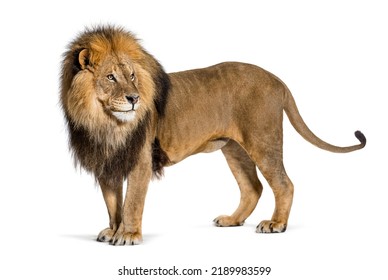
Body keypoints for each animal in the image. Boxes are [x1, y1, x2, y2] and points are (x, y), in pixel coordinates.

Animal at [59, 25, 366, 245]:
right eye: (110, 77)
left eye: (132, 76)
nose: (134, 98)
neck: (104, 121)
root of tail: (276, 79)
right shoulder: (106, 163)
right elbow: (113, 204)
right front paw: (113, 231)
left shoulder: (141, 161)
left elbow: (132, 202)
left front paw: (128, 235)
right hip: (234, 148)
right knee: (253, 187)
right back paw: (232, 220)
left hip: (262, 140)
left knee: (284, 183)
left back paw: (276, 224)